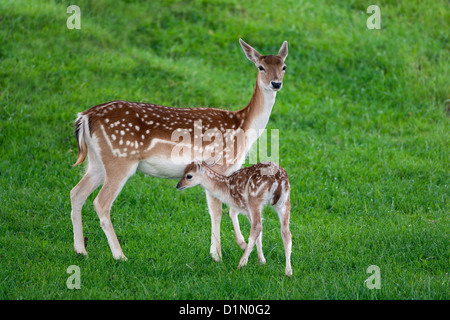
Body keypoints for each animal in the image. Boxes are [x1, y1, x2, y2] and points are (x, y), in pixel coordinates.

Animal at [70, 38, 288, 262]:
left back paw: (80, 250)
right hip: (119, 160)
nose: (276, 83)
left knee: (76, 193)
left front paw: (236, 245)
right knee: (101, 202)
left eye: (283, 67)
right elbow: (217, 211)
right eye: (260, 67)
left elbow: (225, 209)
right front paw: (217, 255)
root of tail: (85, 117)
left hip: (97, 161)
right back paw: (120, 255)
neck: (243, 126)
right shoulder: (219, 165)